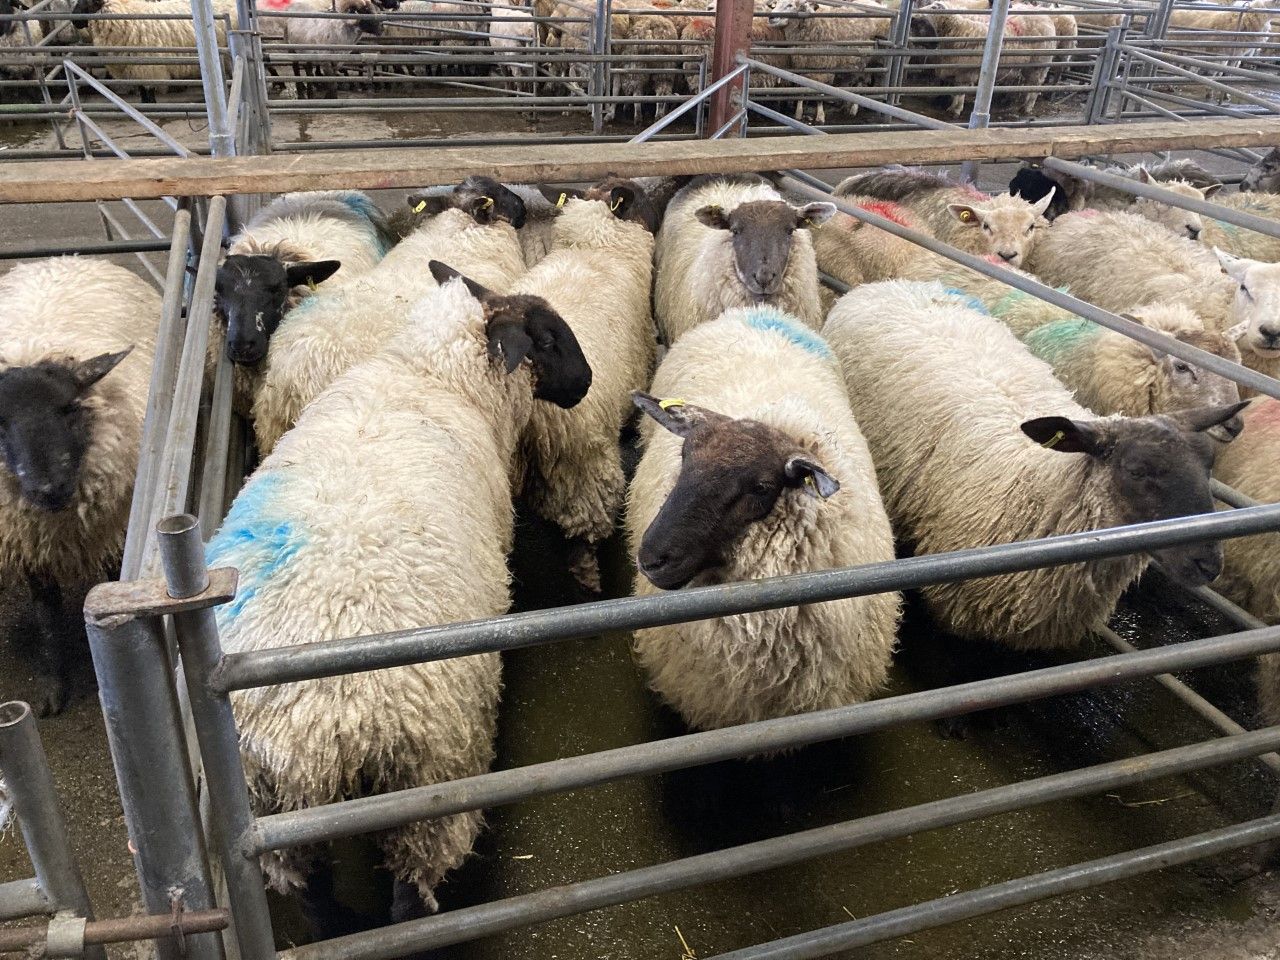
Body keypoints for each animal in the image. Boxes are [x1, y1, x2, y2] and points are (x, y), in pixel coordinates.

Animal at [0, 258, 159, 716]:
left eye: (68, 407)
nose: (47, 487)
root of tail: (64, 258)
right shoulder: (27, 539)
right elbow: (46, 611)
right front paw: (55, 686)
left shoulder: (119, 529)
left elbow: (116, 580)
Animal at [70, 0, 235, 102]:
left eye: (87, 2)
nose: (74, 21)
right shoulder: (133, 69)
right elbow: (142, 90)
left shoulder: (147, 68)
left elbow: (148, 91)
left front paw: (152, 105)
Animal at [205, 261, 590, 926]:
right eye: (546, 337)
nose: (587, 382)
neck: (431, 376)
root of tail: (329, 718)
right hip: (429, 779)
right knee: (411, 895)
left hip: (274, 809)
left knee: (312, 892)